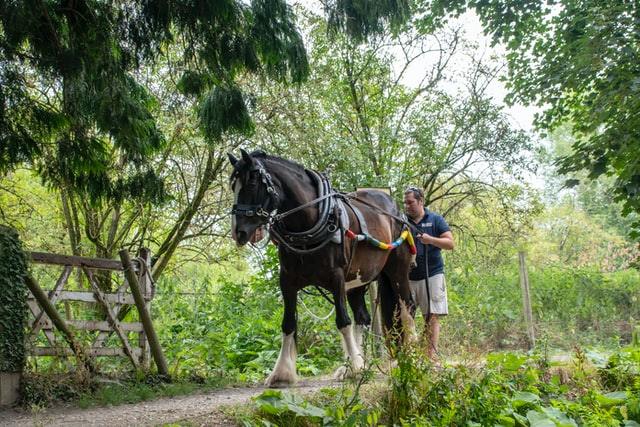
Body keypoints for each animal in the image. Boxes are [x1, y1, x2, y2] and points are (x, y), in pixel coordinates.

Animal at [228, 149, 418, 386]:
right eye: (232, 186)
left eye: (252, 182)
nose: (238, 232)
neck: (311, 219)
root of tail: (398, 212)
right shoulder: (287, 280)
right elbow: (288, 324)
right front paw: (282, 373)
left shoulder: (336, 277)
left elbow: (342, 321)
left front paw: (354, 367)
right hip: (357, 282)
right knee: (363, 318)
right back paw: (357, 363)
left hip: (397, 272)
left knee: (408, 307)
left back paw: (412, 355)